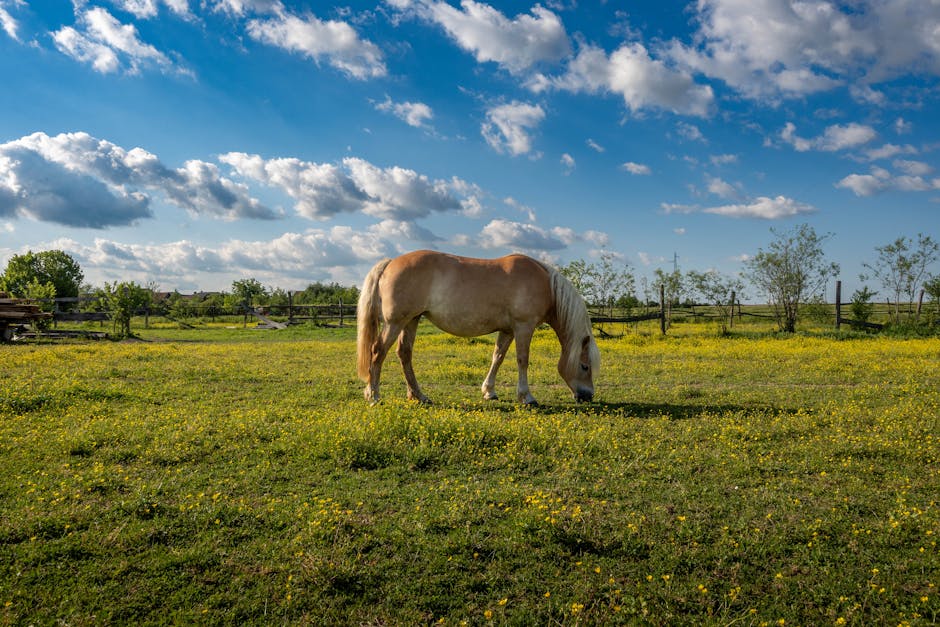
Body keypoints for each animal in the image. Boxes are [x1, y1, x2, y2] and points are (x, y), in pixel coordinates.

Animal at [356, 251, 600, 408]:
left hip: (411, 320)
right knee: (378, 352)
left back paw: (418, 396)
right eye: (584, 366)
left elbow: (497, 357)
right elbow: (522, 360)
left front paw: (489, 391)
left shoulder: (508, 330)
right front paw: (527, 397)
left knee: (404, 354)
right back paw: (374, 396)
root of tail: (390, 263)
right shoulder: (524, 326)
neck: (545, 284)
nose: (588, 396)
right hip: (395, 322)